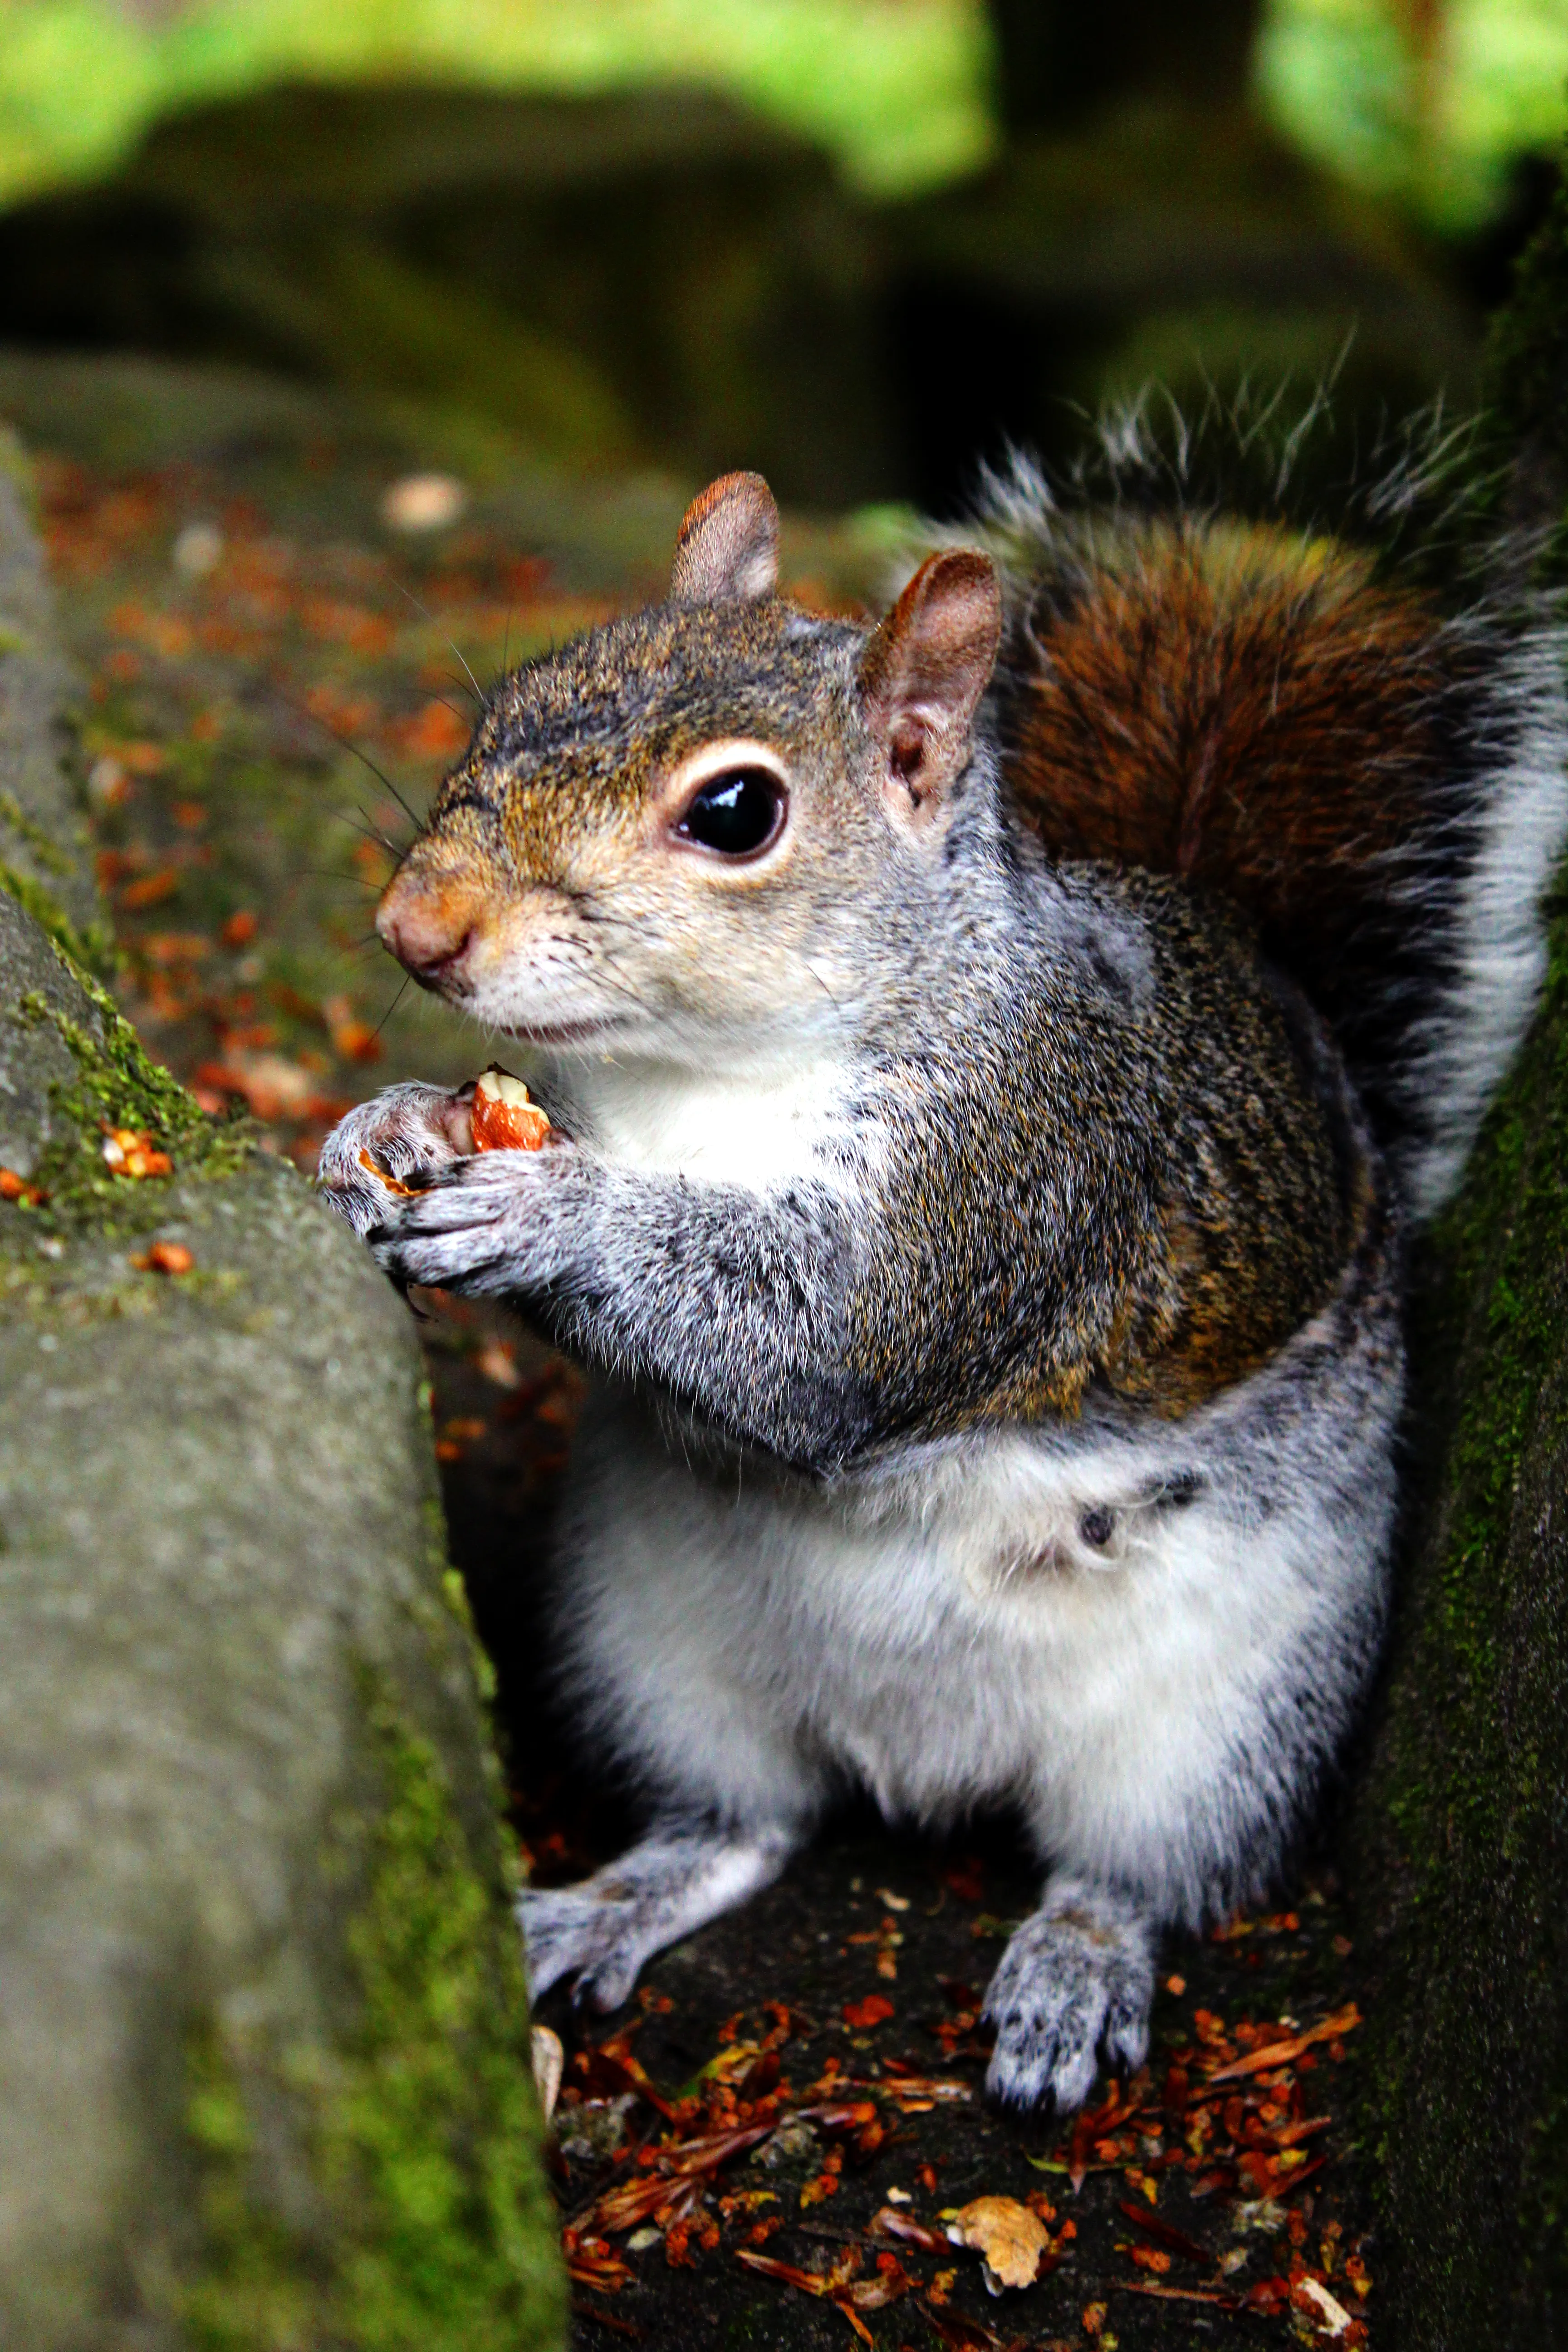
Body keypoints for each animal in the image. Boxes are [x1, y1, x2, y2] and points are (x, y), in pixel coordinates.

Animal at [319, 416, 1568, 2109]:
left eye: (735, 814)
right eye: (521, 690)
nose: (416, 926)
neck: (704, 1081)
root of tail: (922, 1763)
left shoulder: (1009, 1169)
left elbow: (812, 1337)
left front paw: (547, 1217)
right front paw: (385, 1124)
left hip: (1221, 1721)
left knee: (1129, 1870)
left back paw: (1072, 1974)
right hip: (656, 1651)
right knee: (742, 1827)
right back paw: (609, 1901)